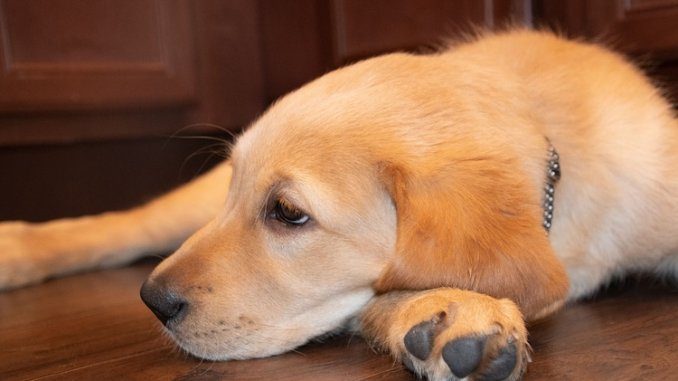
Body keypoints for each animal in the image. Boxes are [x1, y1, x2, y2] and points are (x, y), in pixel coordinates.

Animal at [1, 30, 678, 380]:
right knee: (127, 225)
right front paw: (447, 310)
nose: (154, 302)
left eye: (287, 213)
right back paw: (17, 249)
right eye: (256, 199)